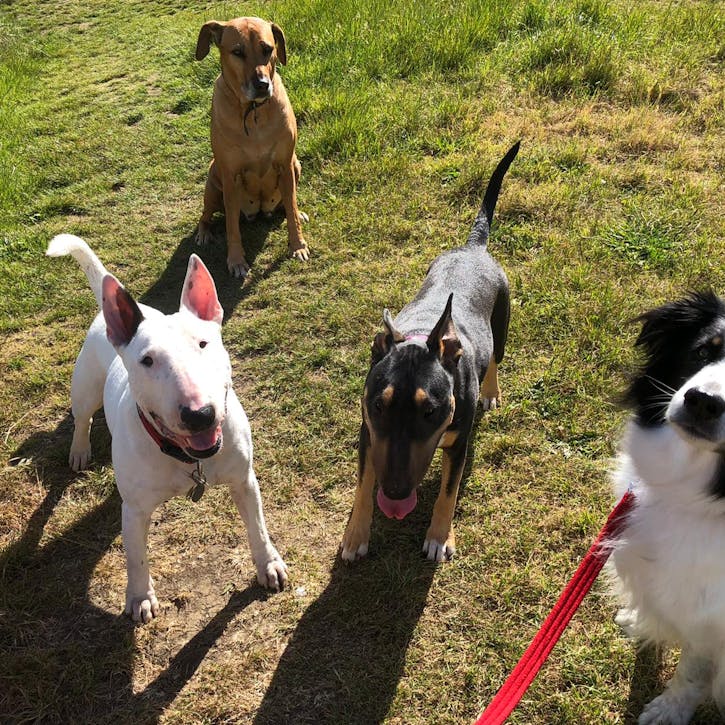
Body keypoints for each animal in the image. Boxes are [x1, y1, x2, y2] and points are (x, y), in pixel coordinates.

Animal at [195, 17, 308, 278]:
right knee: (207, 214)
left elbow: (291, 206)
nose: (262, 85)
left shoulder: (286, 164)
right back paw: (204, 232)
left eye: (267, 49)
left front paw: (297, 245)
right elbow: (231, 227)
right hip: (213, 180)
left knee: (288, 203)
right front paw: (236, 260)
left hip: (296, 164)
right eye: (237, 52)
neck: (254, 111)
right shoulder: (230, 174)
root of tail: (258, 211)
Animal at [340, 141, 516, 560]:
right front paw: (355, 536)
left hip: (502, 320)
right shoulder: (368, 434)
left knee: (495, 359)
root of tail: (473, 247)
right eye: (377, 406)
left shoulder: (459, 443)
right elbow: (362, 485)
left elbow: (448, 492)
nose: (395, 492)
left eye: (430, 412)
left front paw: (439, 537)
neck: (421, 336)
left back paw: (491, 391)